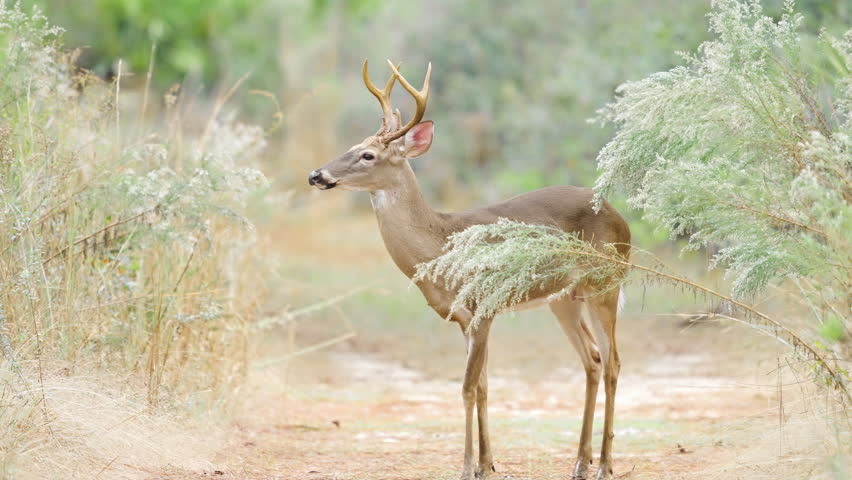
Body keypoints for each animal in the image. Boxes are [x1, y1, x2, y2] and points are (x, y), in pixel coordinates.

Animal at [307, 60, 631, 480]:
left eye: (367, 155)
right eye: (351, 147)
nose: (316, 175)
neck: (441, 244)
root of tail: (622, 219)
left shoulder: (483, 307)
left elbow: (466, 386)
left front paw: (465, 467)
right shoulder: (463, 317)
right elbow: (482, 386)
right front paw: (486, 463)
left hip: (604, 284)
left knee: (612, 363)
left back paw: (605, 465)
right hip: (564, 298)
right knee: (591, 360)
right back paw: (580, 461)